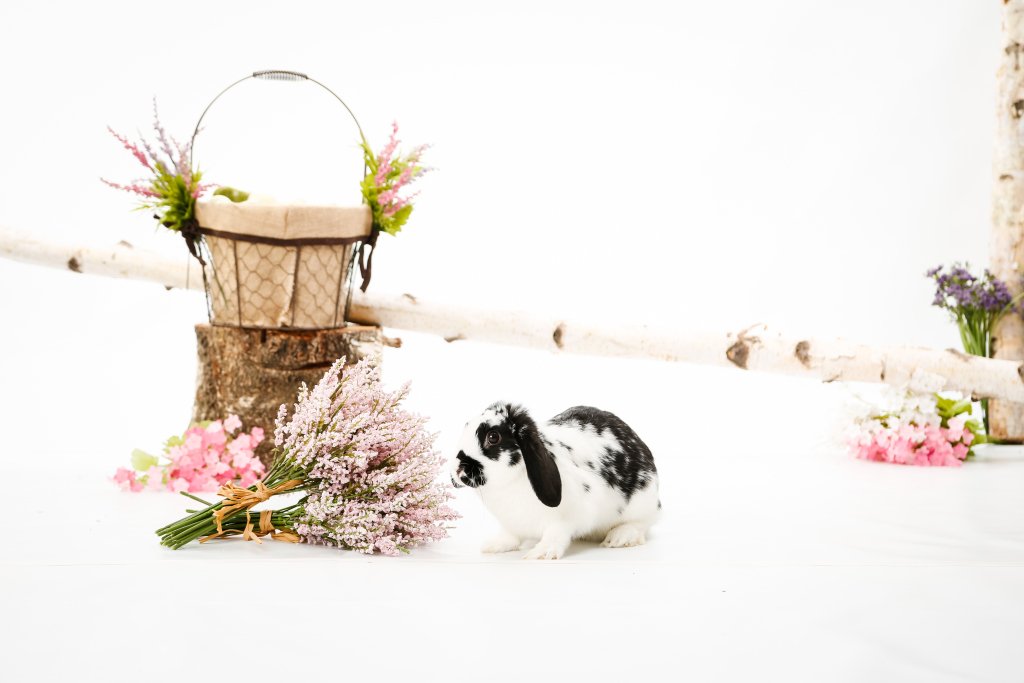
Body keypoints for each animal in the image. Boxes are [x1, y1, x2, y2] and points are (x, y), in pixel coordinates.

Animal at [451, 402, 661, 560]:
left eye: (493, 437)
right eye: (466, 426)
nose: (458, 468)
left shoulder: (566, 519)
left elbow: (556, 534)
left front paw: (541, 553)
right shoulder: (510, 525)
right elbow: (509, 537)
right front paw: (493, 546)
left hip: (642, 505)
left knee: (641, 523)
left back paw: (618, 538)